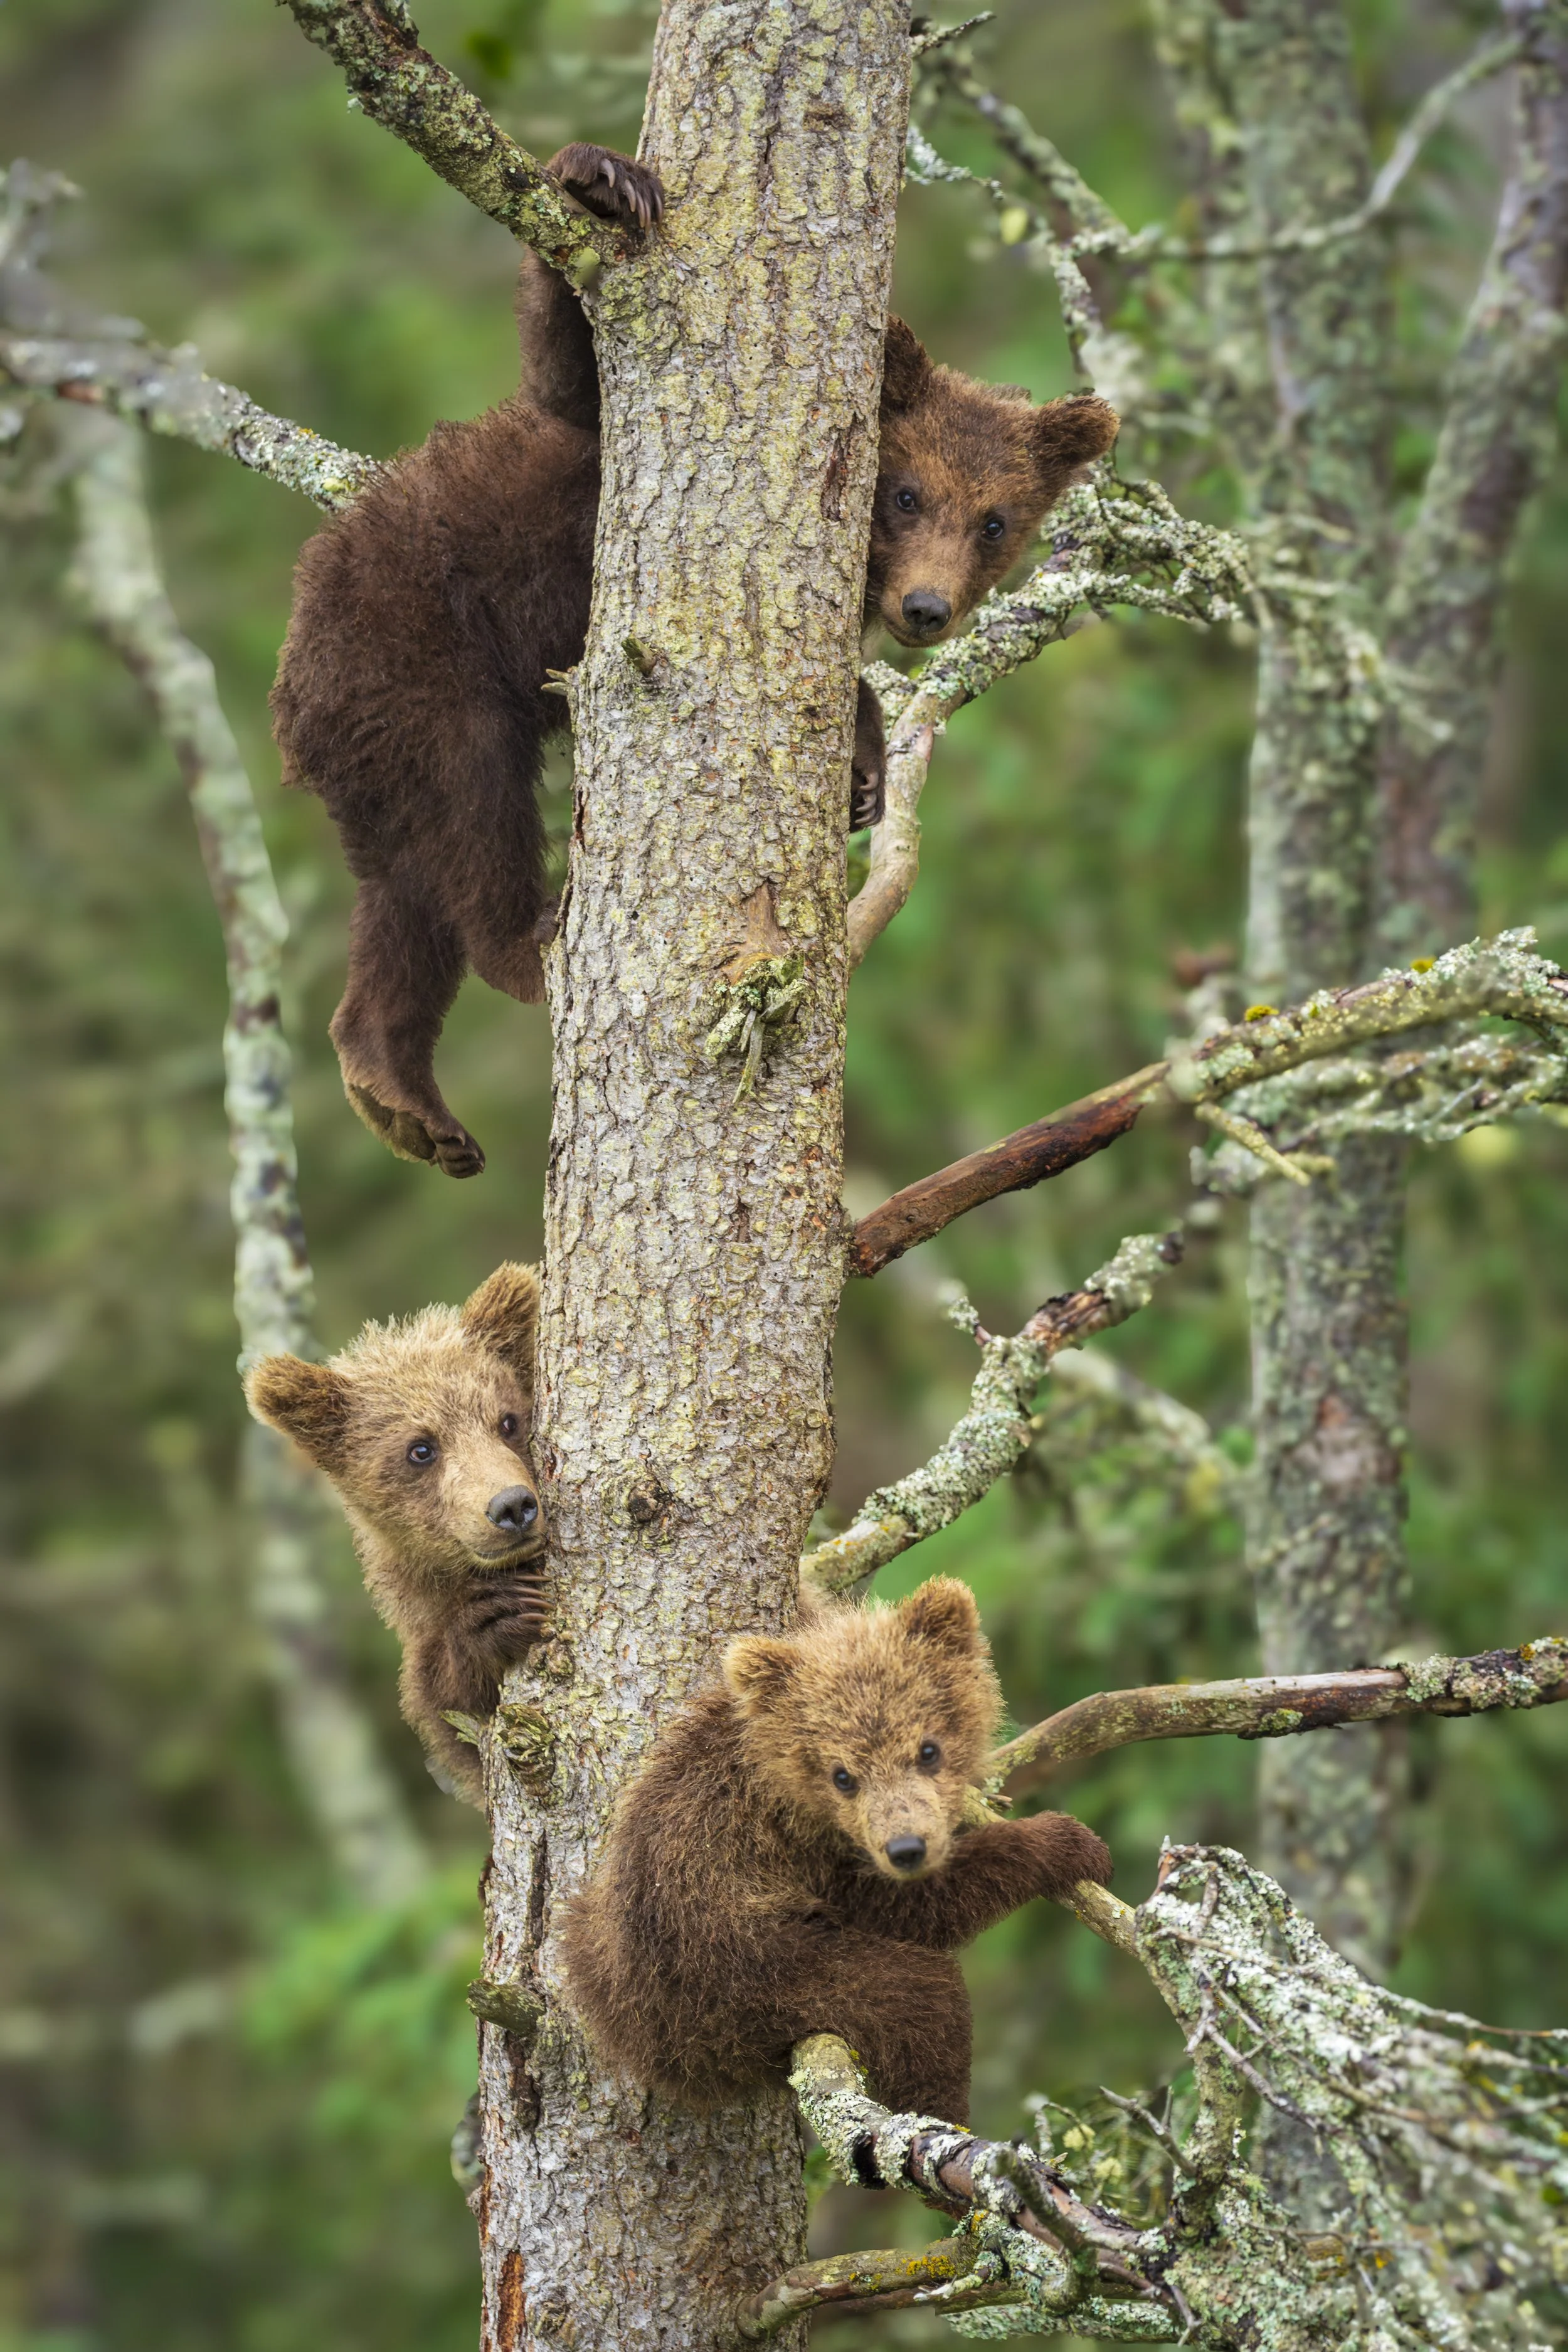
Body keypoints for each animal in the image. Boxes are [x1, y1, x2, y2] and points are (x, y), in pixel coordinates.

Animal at [271, 139, 1120, 1181]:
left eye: (996, 521)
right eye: (907, 493)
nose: (926, 608)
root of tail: (300, 665)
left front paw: (863, 775)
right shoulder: (593, 467)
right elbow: (570, 379)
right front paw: (599, 179)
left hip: (375, 747)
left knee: (400, 895)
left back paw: (400, 1092)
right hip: (415, 662)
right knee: (469, 813)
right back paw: (527, 942)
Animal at [558, 1577, 1112, 2123]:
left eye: (928, 1750)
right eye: (842, 1776)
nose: (906, 1849)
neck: (785, 1791)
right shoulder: (792, 1854)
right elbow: (913, 1907)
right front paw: (1064, 1841)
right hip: (750, 1975)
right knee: (919, 1999)